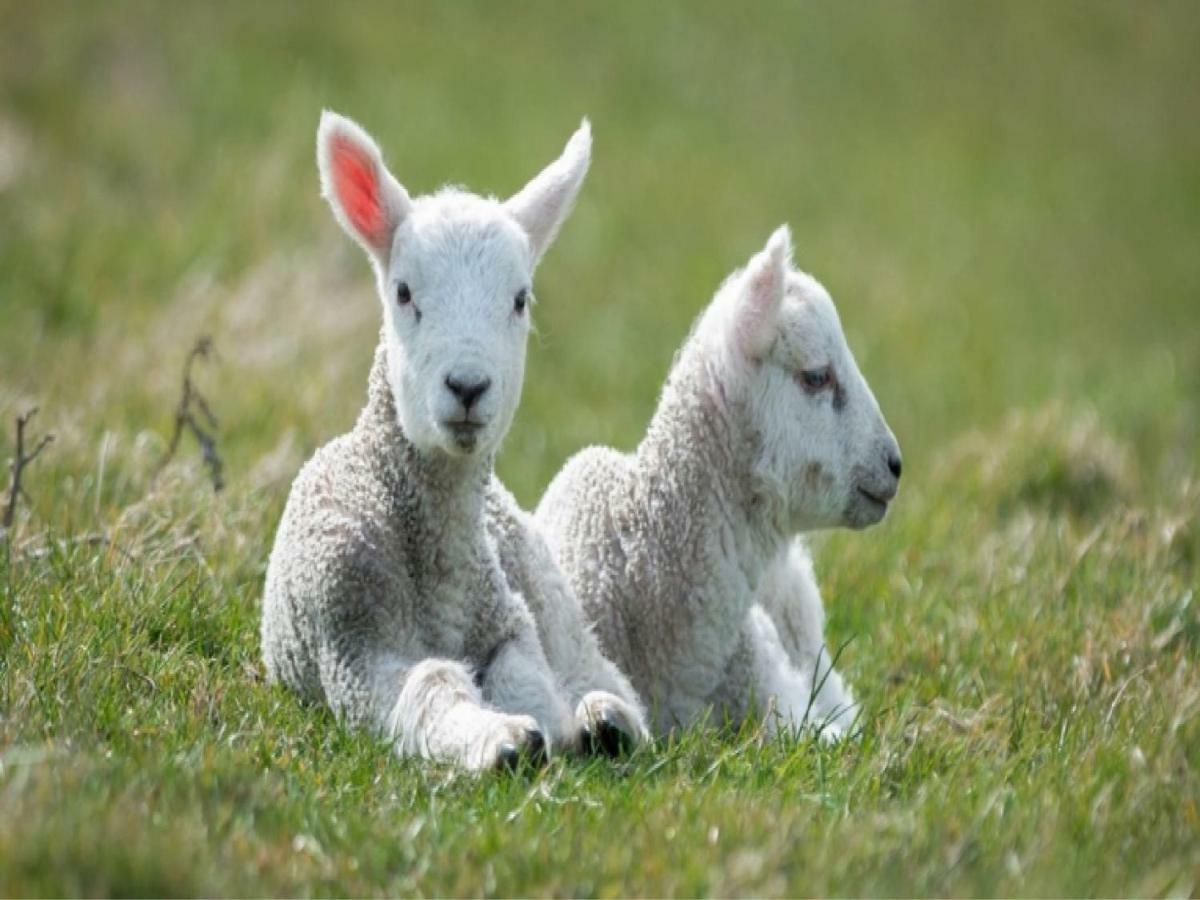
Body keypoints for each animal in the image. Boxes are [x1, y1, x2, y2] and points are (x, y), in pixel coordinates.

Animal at [262, 111, 648, 777]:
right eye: (403, 293)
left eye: (520, 299)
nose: (467, 386)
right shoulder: (353, 644)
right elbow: (433, 684)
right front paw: (501, 740)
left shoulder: (509, 619)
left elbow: (527, 677)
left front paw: (556, 728)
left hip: (548, 590)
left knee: (593, 667)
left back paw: (610, 718)